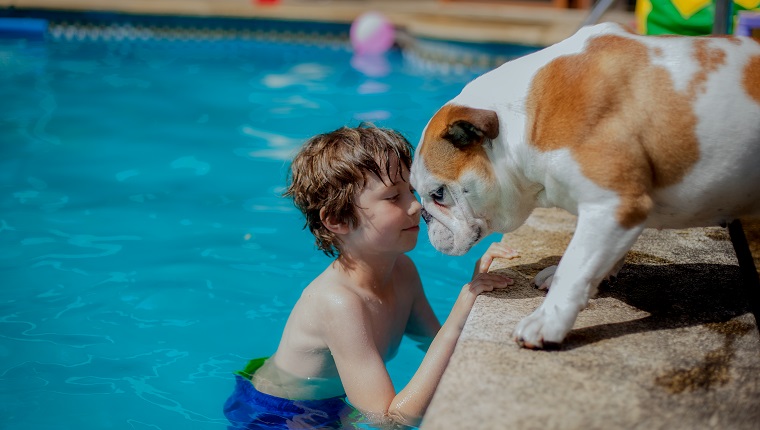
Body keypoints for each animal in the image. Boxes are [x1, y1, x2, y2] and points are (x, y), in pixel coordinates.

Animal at [410, 22, 760, 350]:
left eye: (438, 195)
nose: (423, 216)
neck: (525, 123)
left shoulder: (612, 204)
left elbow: (576, 265)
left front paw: (547, 321)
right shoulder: (617, 212)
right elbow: (590, 257)